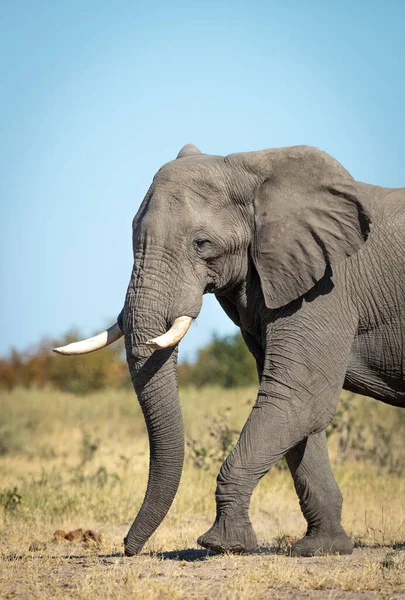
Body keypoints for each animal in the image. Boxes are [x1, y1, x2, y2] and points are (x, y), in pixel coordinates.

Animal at [54, 144, 404, 556]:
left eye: (201, 244)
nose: (127, 547)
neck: (253, 170)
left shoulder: (329, 287)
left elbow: (298, 398)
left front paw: (222, 545)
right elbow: (298, 412)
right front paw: (320, 549)